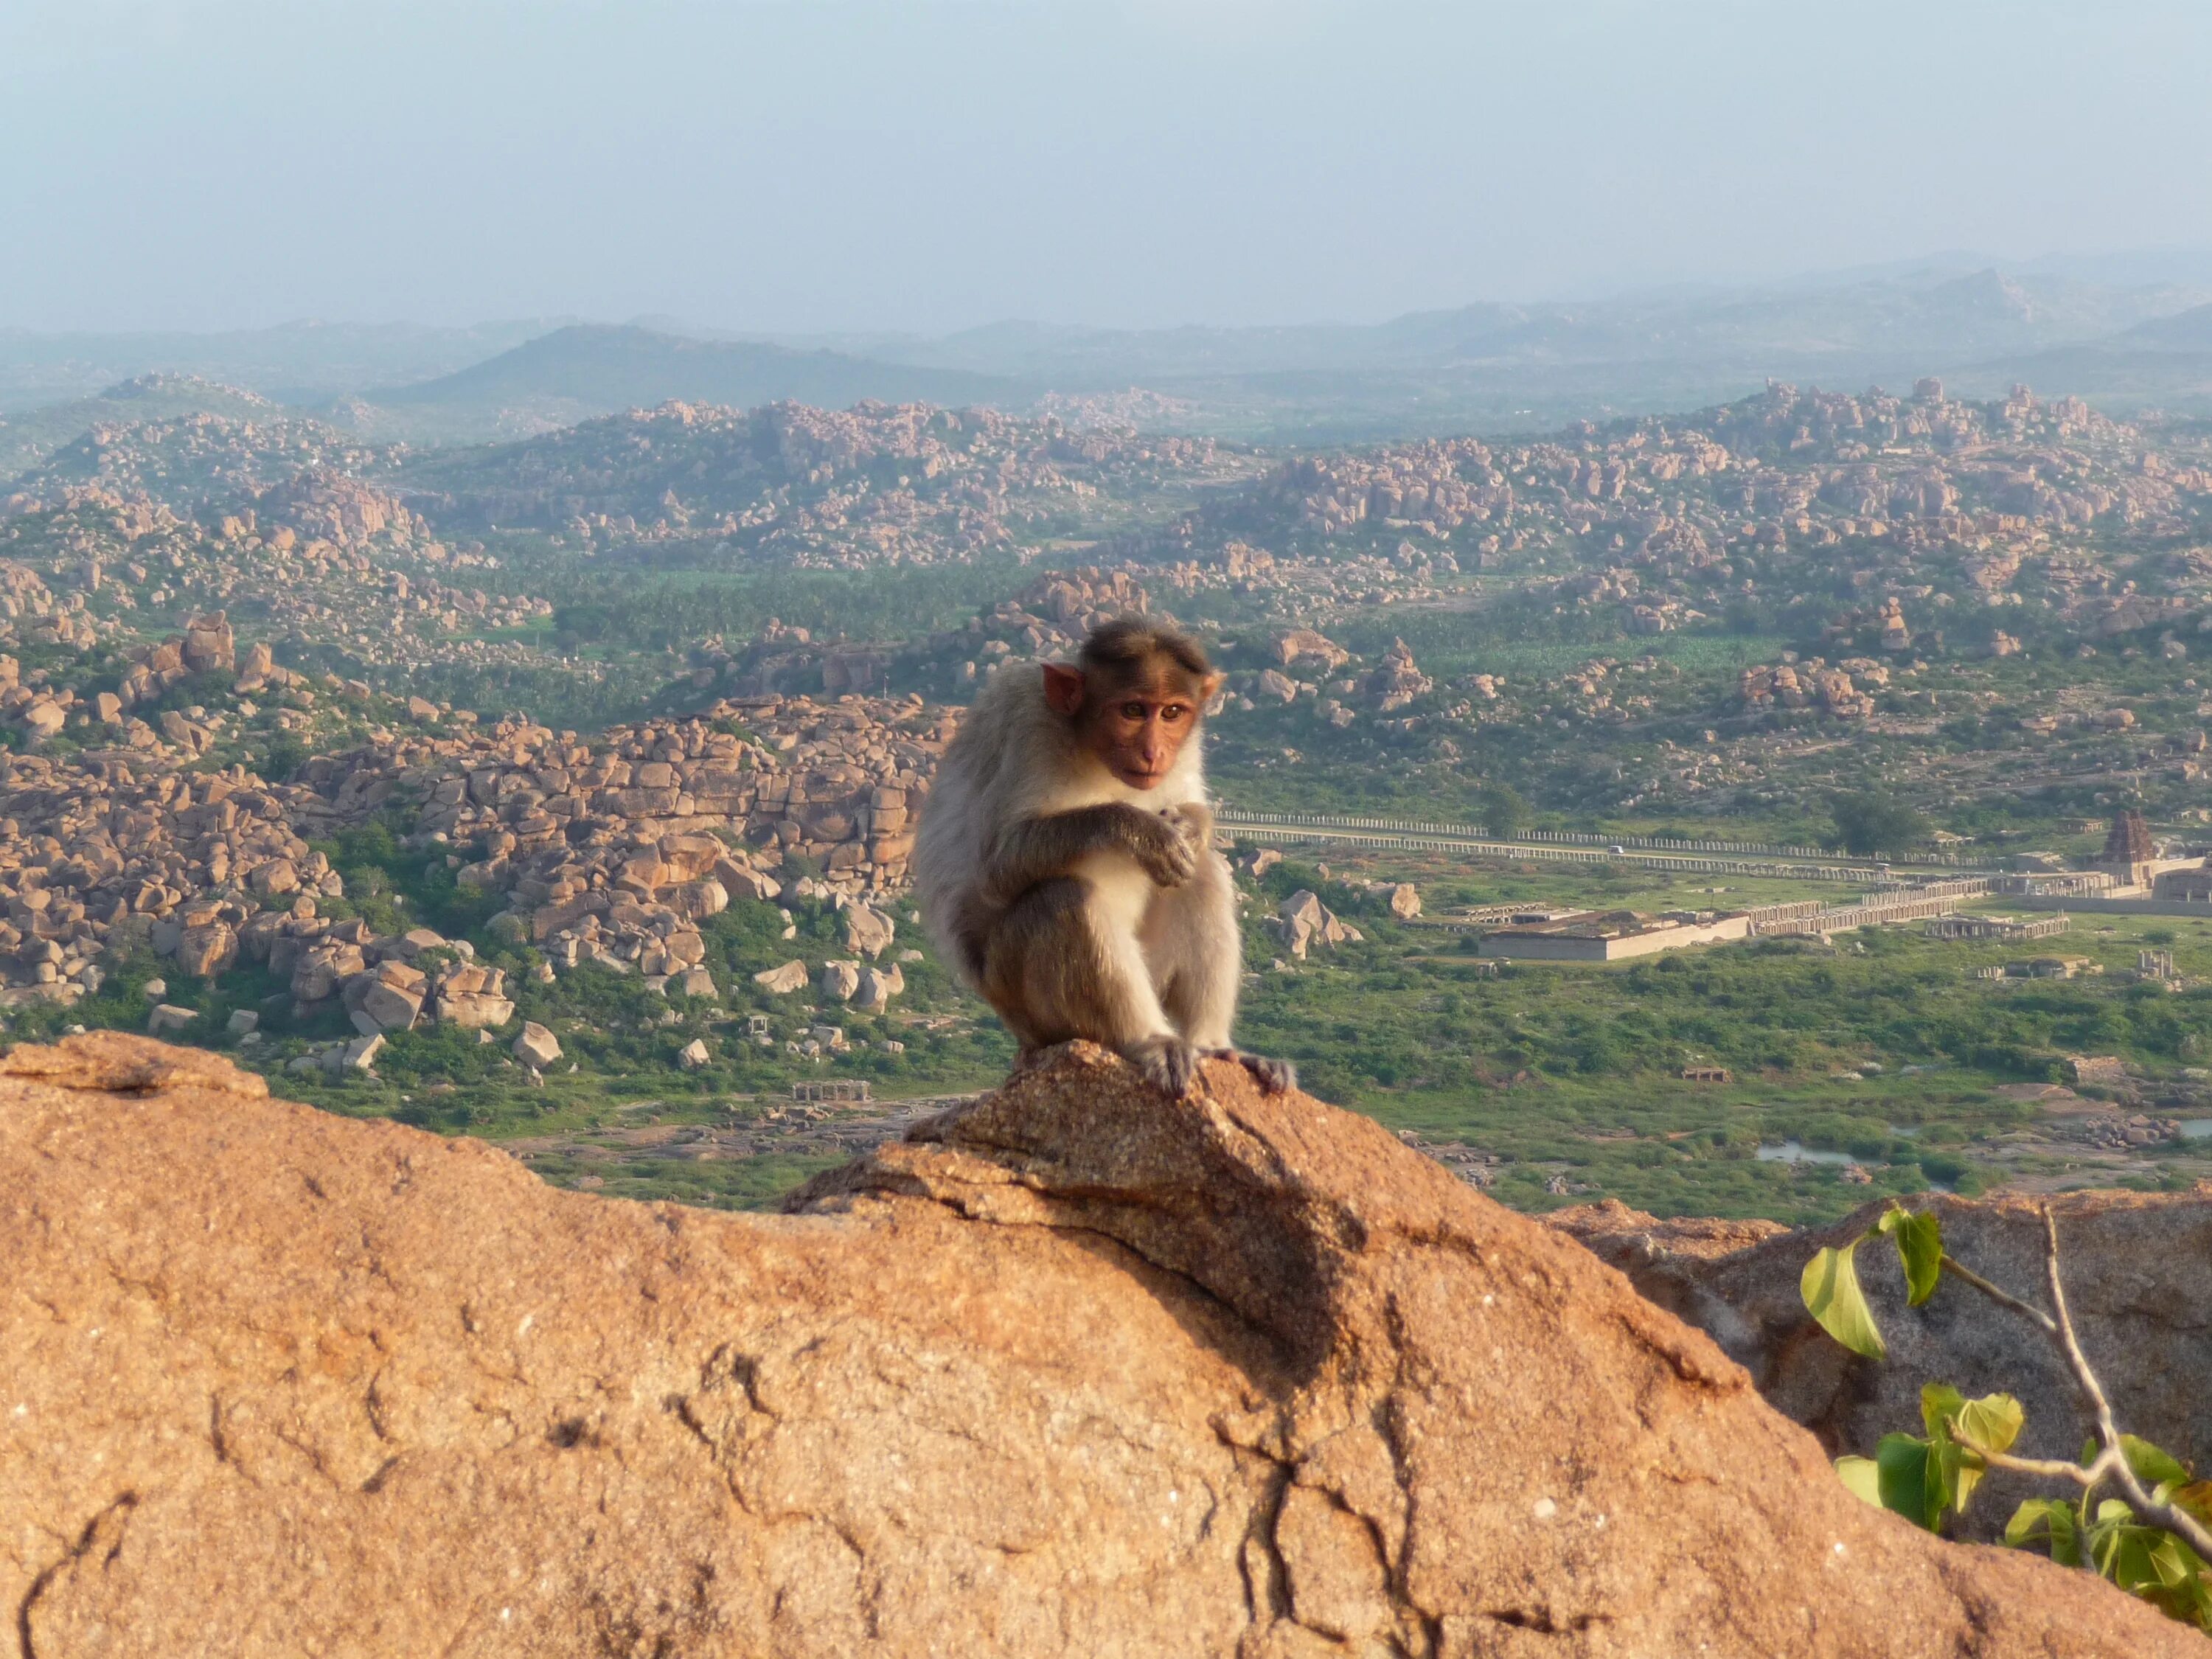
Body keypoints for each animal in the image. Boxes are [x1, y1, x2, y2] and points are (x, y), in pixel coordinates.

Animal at [916, 615, 1292, 1106]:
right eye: (1132, 710)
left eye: (1172, 713)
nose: (1154, 752)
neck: (1090, 746)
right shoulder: (1029, 722)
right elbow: (997, 866)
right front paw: (1142, 832)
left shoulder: (1187, 745)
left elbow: (1189, 808)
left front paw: (1191, 826)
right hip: (1024, 1001)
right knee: (1066, 898)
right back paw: (1147, 1040)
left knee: (1201, 875)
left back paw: (1212, 1047)